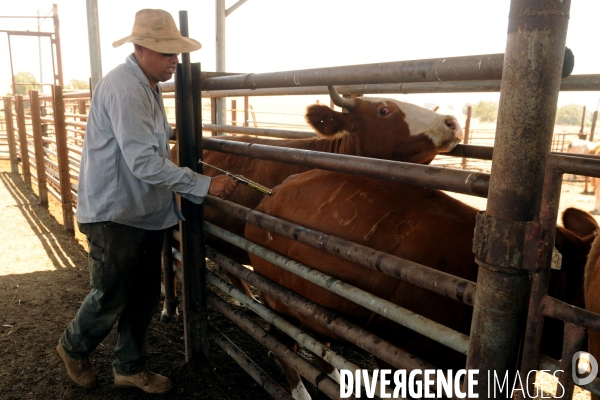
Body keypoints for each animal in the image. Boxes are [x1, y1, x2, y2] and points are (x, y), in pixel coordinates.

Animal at [245, 170, 600, 400]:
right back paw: (302, 394)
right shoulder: (405, 351)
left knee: (317, 336)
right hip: (276, 291)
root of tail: (269, 196)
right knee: (284, 342)